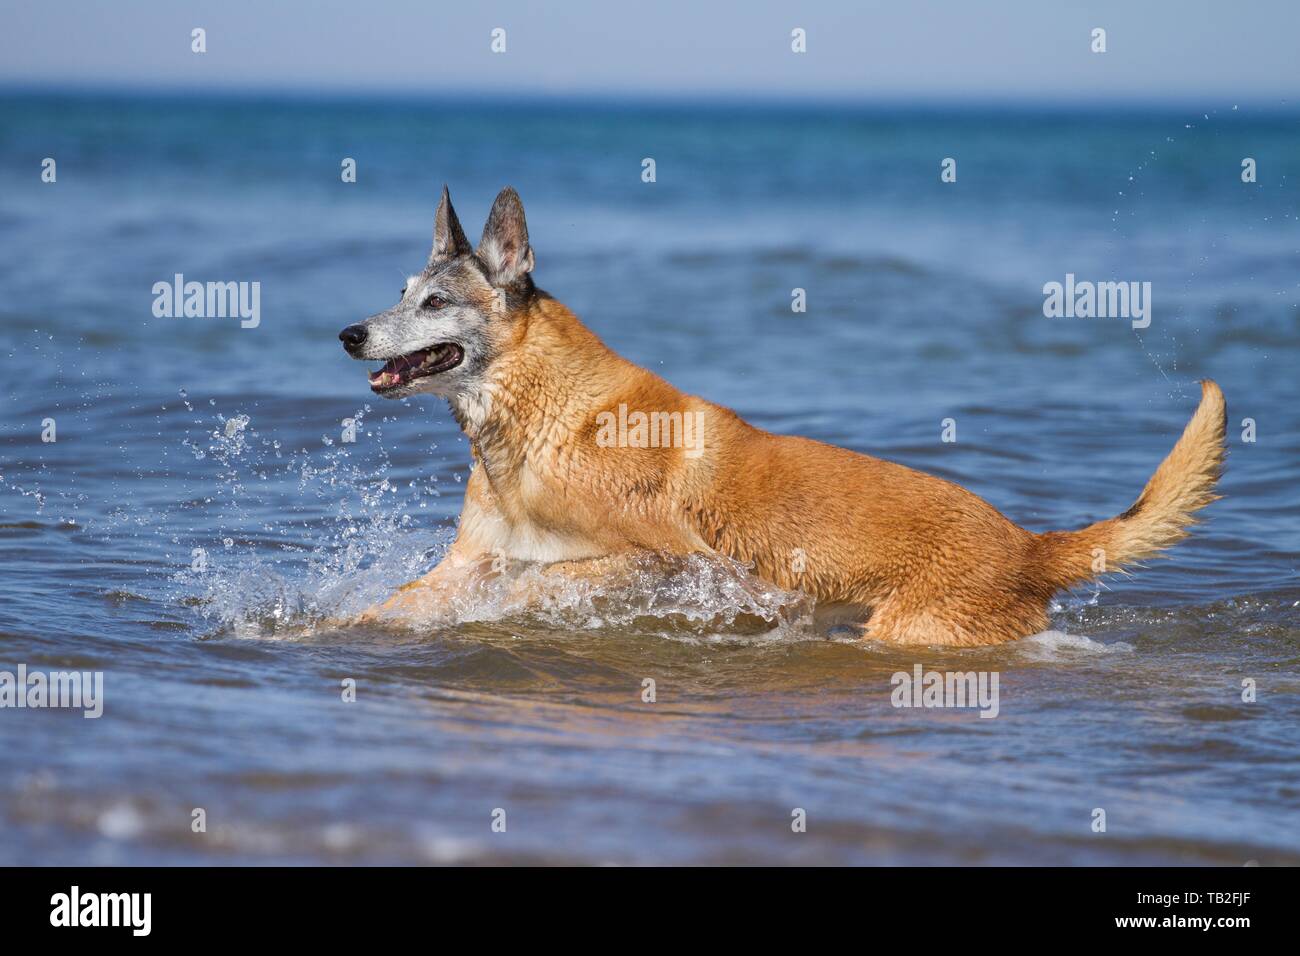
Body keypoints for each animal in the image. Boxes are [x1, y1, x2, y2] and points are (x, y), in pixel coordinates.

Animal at [338, 184, 1227, 650]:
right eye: (401, 293)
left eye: (435, 302)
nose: (349, 334)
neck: (537, 413)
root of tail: (1032, 548)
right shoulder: (461, 567)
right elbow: (390, 606)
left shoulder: (663, 559)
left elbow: (541, 580)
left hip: (909, 632)